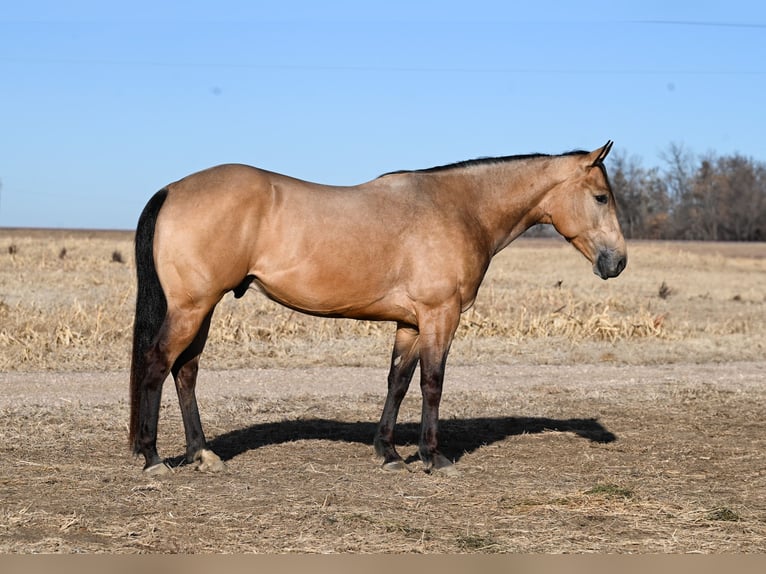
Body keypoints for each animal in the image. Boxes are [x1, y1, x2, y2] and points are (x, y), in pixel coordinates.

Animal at [129, 141, 628, 476]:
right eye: (601, 197)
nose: (617, 262)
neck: (459, 208)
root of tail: (173, 189)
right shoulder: (439, 315)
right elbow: (432, 384)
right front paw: (433, 457)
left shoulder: (409, 324)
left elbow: (398, 383)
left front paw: (387, 454)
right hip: (192, 307)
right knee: (158, 363)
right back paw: (153, 458)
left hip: (202, 308)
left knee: (186, 371)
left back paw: (201, 454)